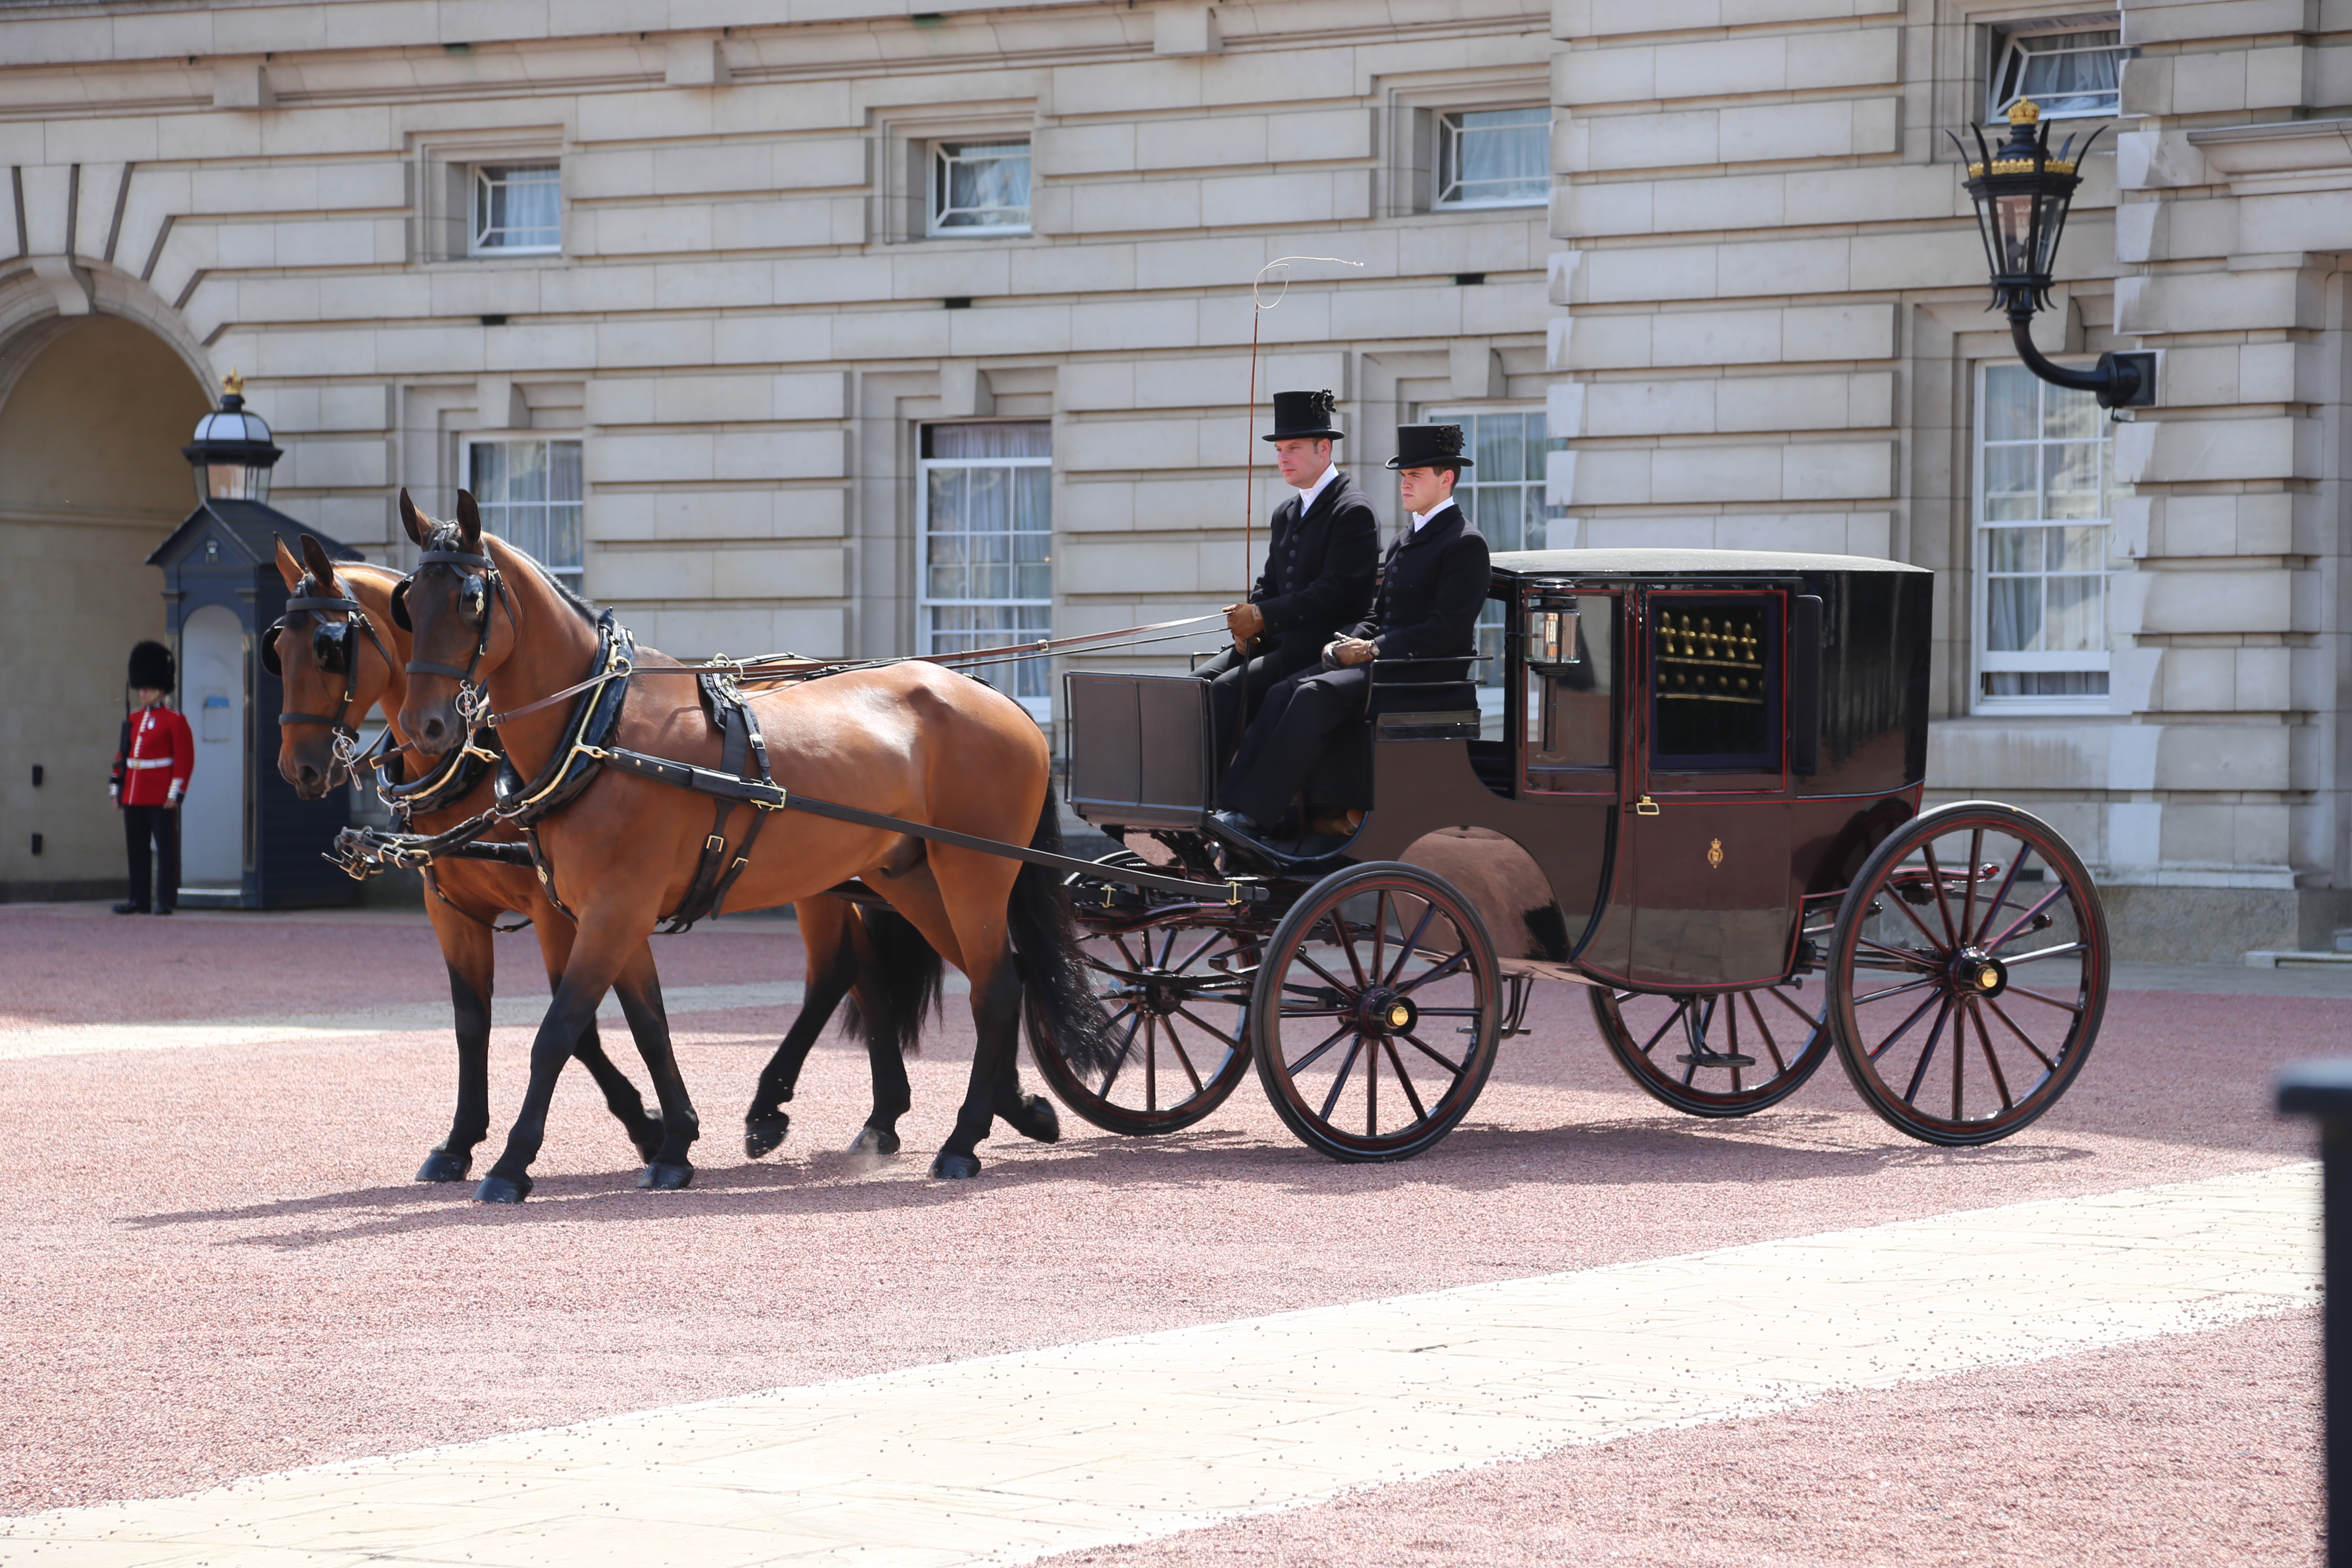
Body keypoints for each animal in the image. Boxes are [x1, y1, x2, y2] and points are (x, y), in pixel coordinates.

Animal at [269, 533, 945, 1185]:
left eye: (330, 648)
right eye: (279, 647)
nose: (300, 768)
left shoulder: (564, 909)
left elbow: (581, 1029)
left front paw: (646, 1128)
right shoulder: (456, 911)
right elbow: (473, 1024)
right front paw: (461, 1142)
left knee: (837, 970)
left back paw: (778, 1109)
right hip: (834, 873)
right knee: (864, 972)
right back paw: (878, 1120)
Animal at [395, 493, 1110, 1204]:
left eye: (470, 601)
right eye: (408, 602)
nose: (425, 725)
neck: (599, 730)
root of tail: (994, 695)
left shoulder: (612, 911)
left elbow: (558, 1032)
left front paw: (512, 1164)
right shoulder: (613, 916)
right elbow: (649, 1029)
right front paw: (674, 1142)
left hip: (975, 873)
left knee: (991, 988)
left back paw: (961, 1142)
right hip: (912, 878)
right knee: (996, 980)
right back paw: (1005, 1113)